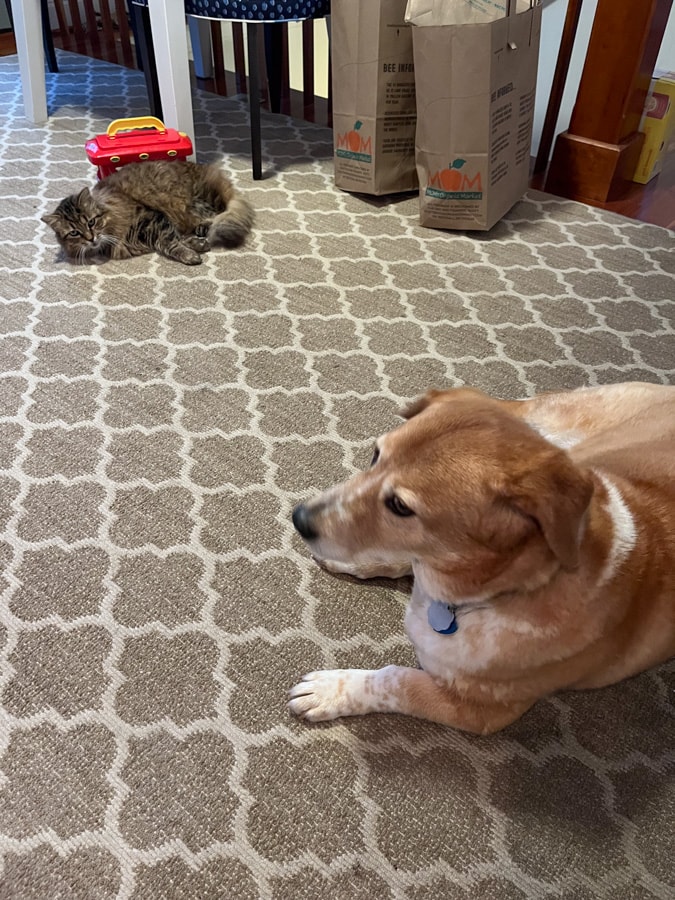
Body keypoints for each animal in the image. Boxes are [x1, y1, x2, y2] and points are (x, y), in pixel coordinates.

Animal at [42, 160, 255, 264]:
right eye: (74, 233)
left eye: (91, 222)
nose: (90, 238)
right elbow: (176, 238)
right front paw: (197, 246)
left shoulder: (151, 218)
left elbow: (170, 242)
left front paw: (190, 255)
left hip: (201, 200)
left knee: (218, 215)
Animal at [290, 384, 675, 736]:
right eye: (375, 455)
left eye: (400, 506)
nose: (299, 518)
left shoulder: (479, 712)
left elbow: (394, 680)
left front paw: (330, 690)